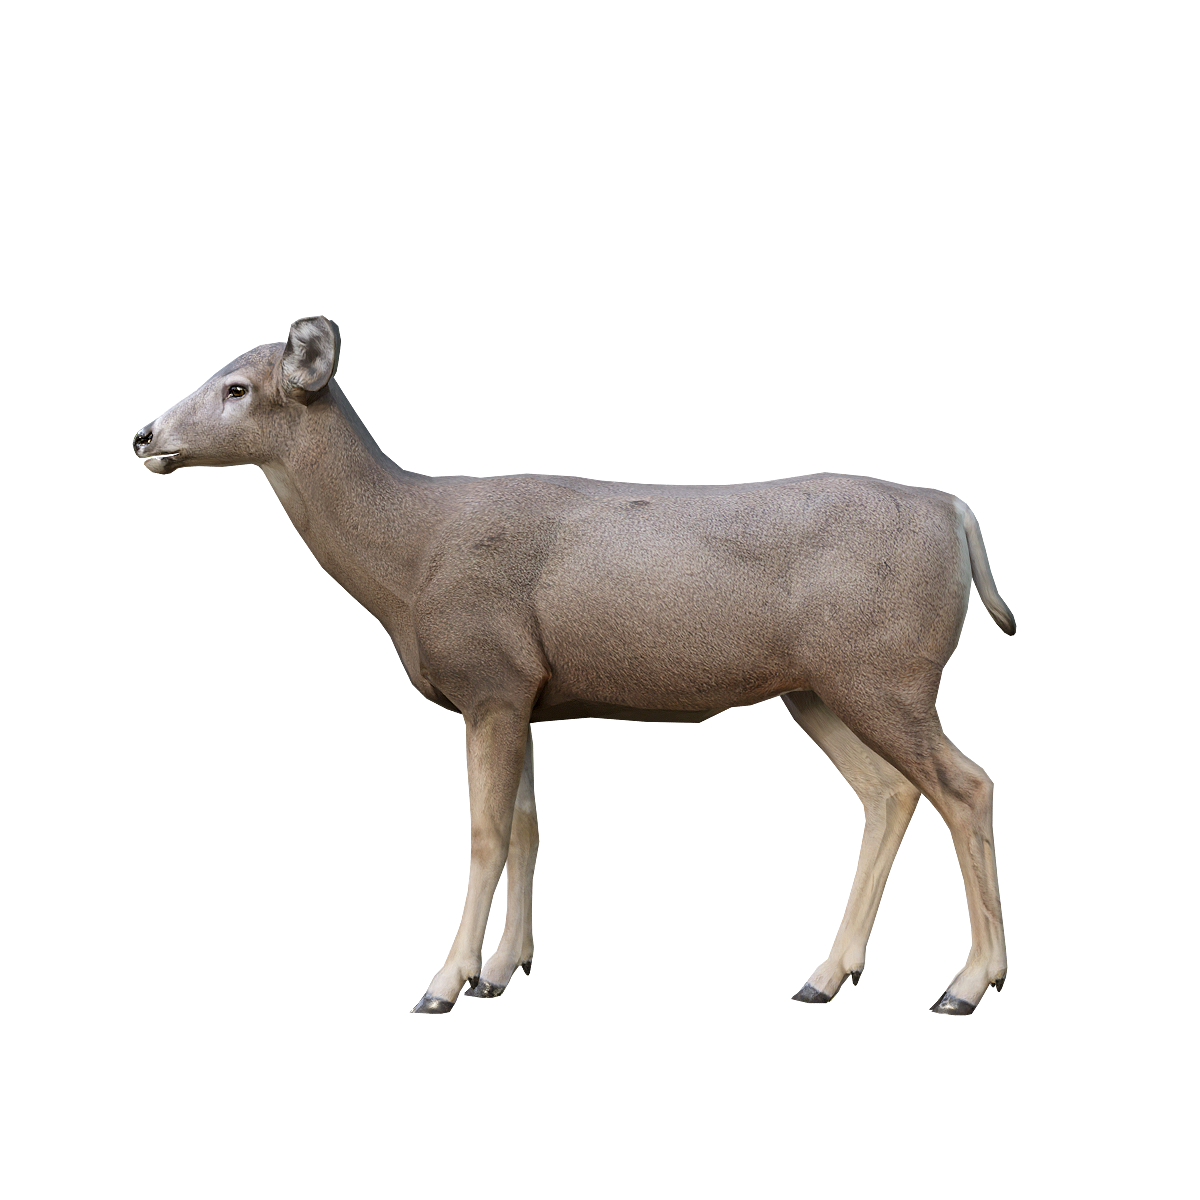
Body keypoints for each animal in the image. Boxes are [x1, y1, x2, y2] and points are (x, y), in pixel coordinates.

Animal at [136, 315, 1015, 1016]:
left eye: (237, 387)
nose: (146, 436)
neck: (410, 559)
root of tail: (957, 515)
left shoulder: (490, 678)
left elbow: (486, 831)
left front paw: (444, 982)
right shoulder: (526, 691)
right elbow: (526, 822)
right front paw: (501, 970)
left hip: (885, 674)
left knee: (965, 787)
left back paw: (966, 985)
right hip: (820, 686)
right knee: (891, 793)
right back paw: (823, 975)